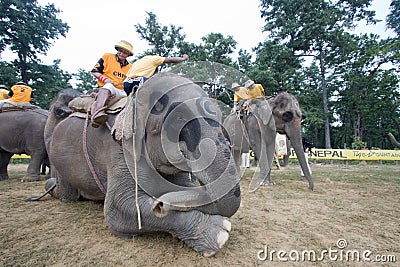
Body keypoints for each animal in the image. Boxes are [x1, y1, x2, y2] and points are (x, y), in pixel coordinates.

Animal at [45, 73, 242, 258]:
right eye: (177, 122)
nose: (160, 205)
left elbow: (182, 186)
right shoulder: (119, 146)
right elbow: (119, 207)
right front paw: (220, 232)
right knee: (67, 195)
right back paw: (51, 186)